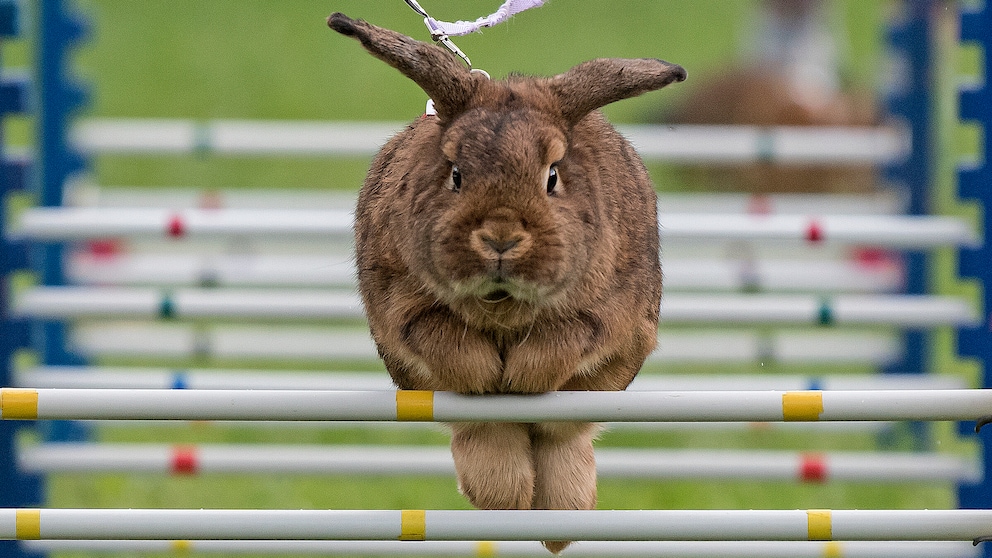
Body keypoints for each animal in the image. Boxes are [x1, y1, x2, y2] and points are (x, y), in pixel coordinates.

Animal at [330, 13, 684, 556]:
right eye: (455, 174)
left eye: (552, 177)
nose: (500, 237)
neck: (502, 306)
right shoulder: (398, 309)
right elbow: (445, 343)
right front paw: (491, 378)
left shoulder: (615, 314)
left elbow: (567, 338)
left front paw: (519, 378)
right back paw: (509, 501)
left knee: (564, 438)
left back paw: (560, 521)